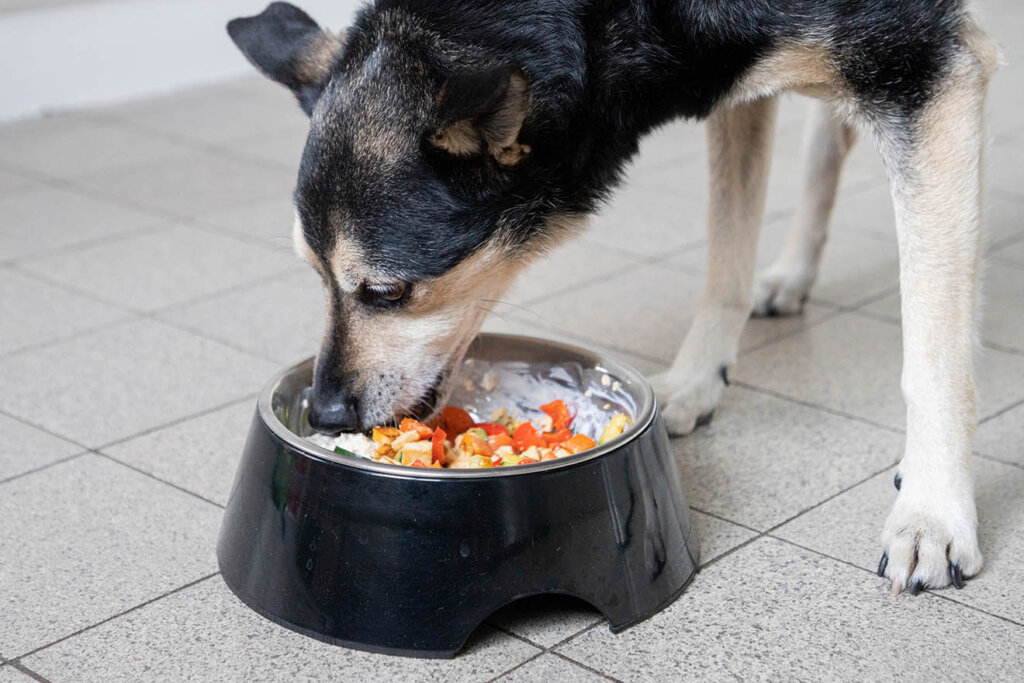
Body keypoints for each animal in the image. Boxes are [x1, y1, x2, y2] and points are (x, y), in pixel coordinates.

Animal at [226, 1, 999, 598]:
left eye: (386, 290)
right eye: (313, 272)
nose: (326, 413)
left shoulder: (928, 71)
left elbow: (935, 347)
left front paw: (934, 508)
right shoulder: (743, 77)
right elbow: (728, 251)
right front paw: (698, 379)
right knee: (828, 143)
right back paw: (793, 271)